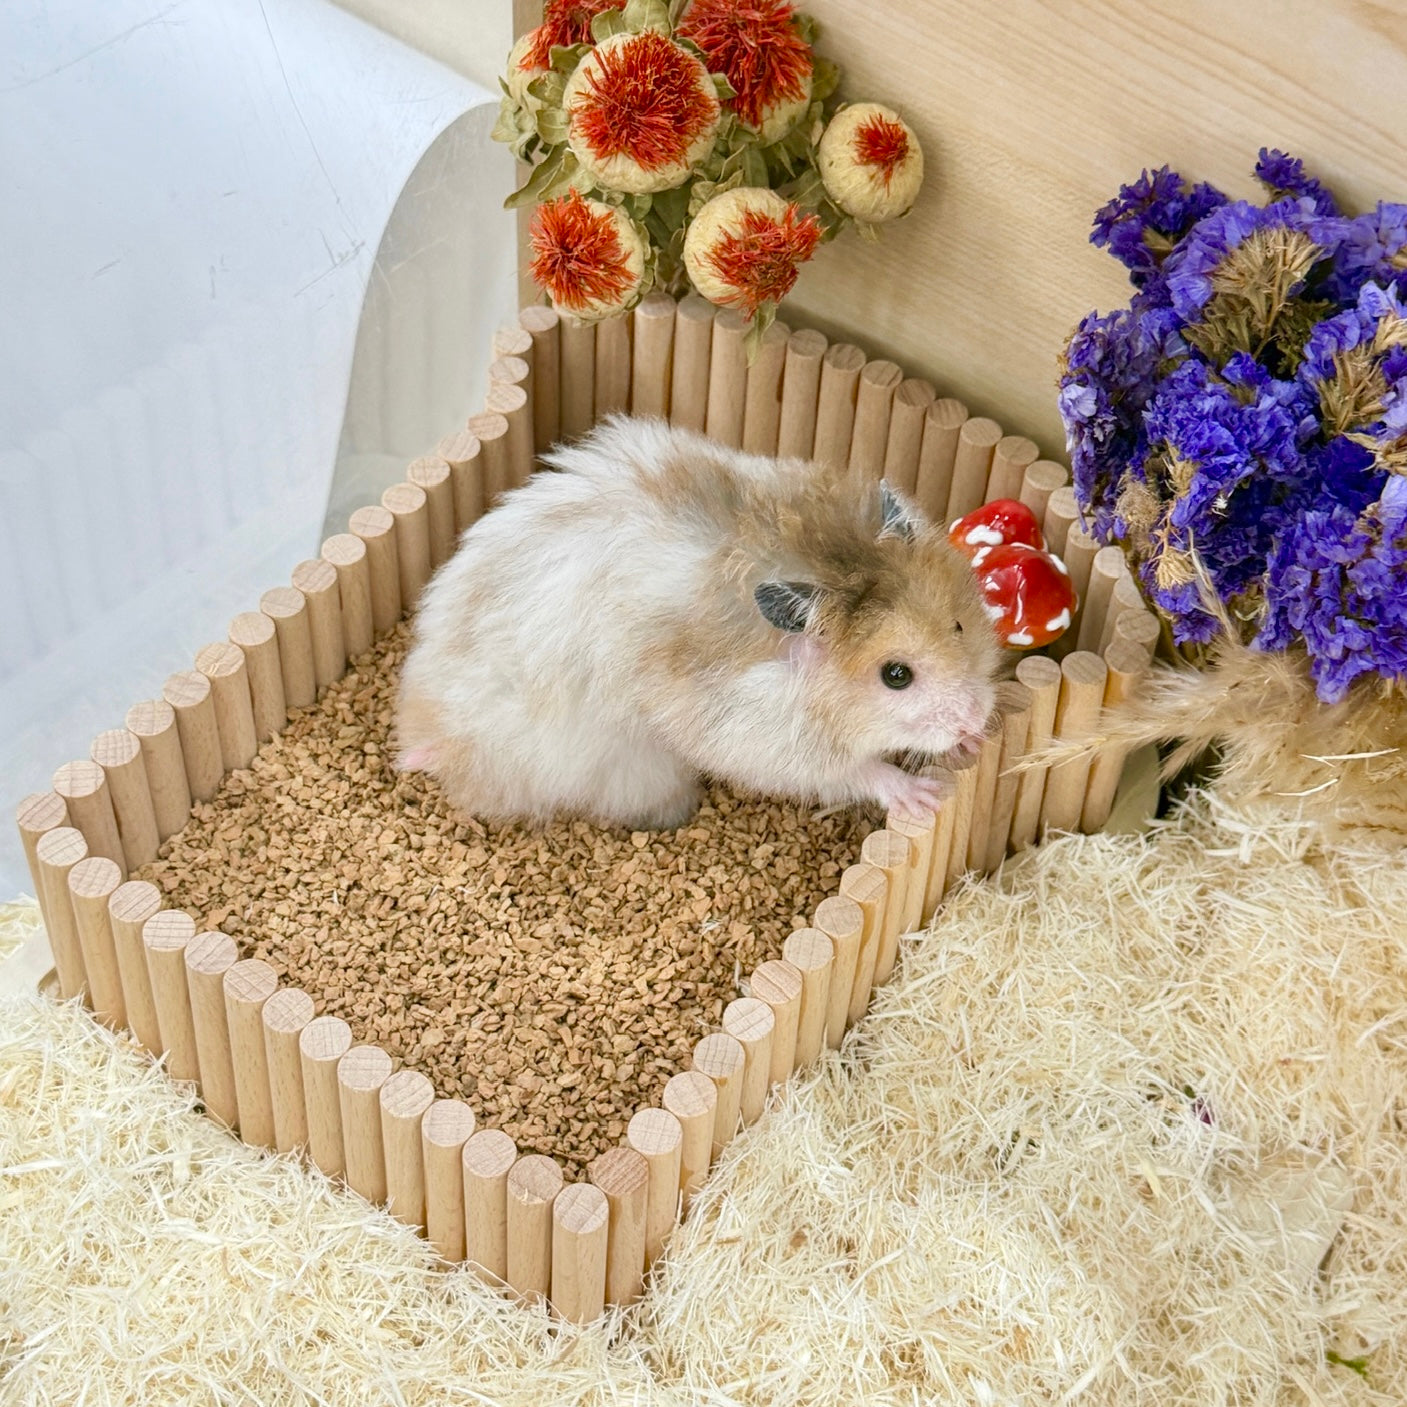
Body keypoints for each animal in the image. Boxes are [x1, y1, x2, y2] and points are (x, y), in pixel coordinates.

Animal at [396, 415, 1001, 830]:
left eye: (959, 627)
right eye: (895, 676)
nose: (975, 718)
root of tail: (428, 734)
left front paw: (974, 742)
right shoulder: (756, 741)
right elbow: (853, 773)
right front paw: (921, 797)